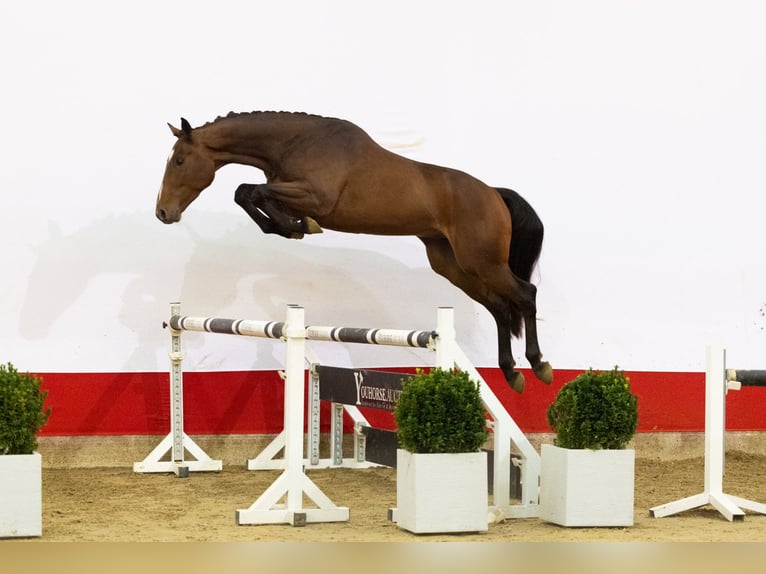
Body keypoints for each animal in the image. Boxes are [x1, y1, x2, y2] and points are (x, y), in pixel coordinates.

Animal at [156, 111, 552, 392]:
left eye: (179, 161)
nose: (163, 212)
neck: (295, 143)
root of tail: (494, 193)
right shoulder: (288, 191)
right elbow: (249, 194)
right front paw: (292, 226)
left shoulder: (313, 195)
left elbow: (251, 191)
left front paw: (299, 226)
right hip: (455, 266)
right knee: (500, 307)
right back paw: (511, 373)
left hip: (483, 262)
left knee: (525, 294)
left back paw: (539, 366)